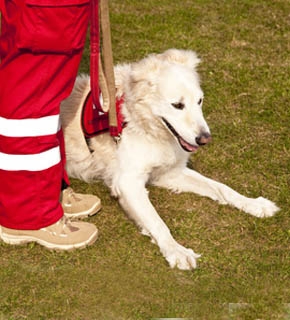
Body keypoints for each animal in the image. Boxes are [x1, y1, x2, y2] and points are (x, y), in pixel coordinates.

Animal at [60, 49, 278, 270]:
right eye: (177, 105)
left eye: (200, 101)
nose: (205, 139)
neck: (144, 125)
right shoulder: (128, 183)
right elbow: (157, 222)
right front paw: (176, 250)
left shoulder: (169, 173)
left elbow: (222, 188)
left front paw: (253, 204)